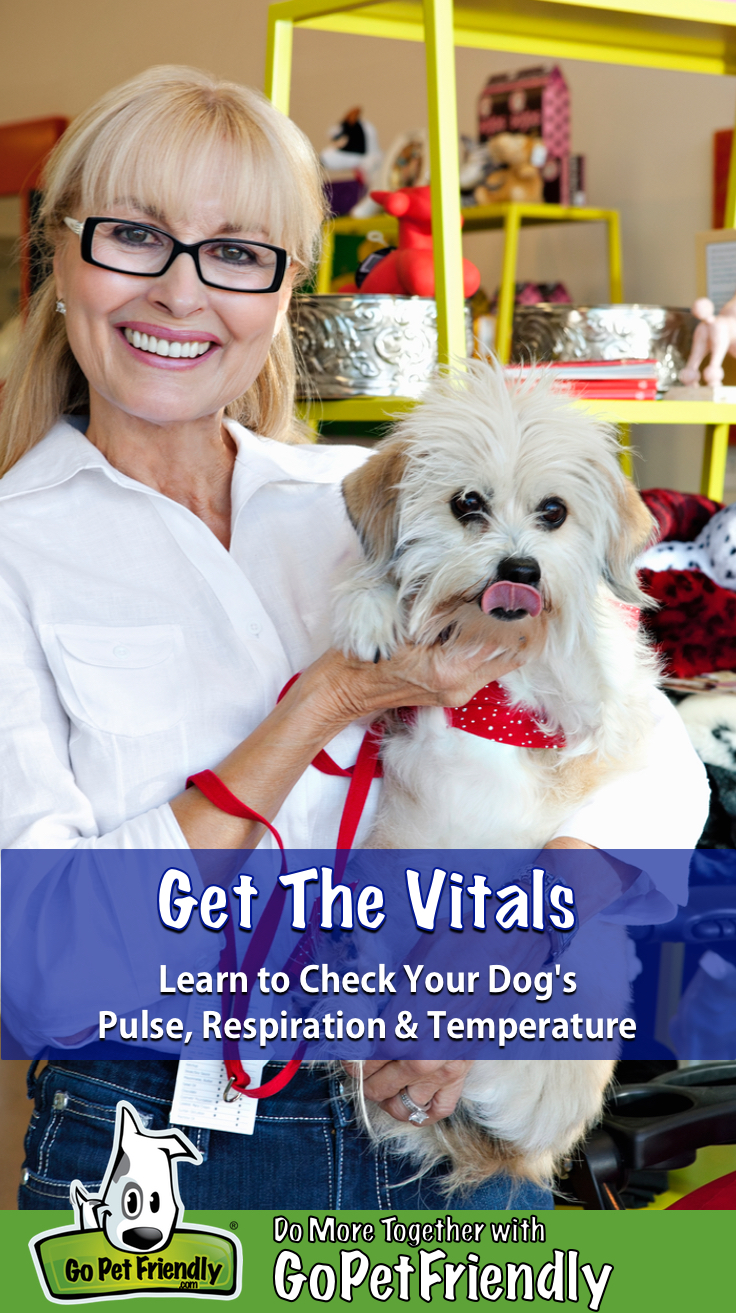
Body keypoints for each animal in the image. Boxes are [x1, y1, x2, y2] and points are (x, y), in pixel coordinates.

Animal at [333, 357, 653, 1192]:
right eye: (466, 504)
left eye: (554, 512)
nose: (520, 570)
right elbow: (384, 588)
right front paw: (372, 608)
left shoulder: (594, 705)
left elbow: (591, 661)